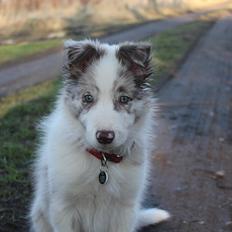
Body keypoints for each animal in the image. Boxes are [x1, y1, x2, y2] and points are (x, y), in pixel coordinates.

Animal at [29, 39, 169, 231]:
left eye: (124, 99)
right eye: (88, 98)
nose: (105, 137)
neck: (102, 160)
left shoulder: (125, 208)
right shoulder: (62, 207)